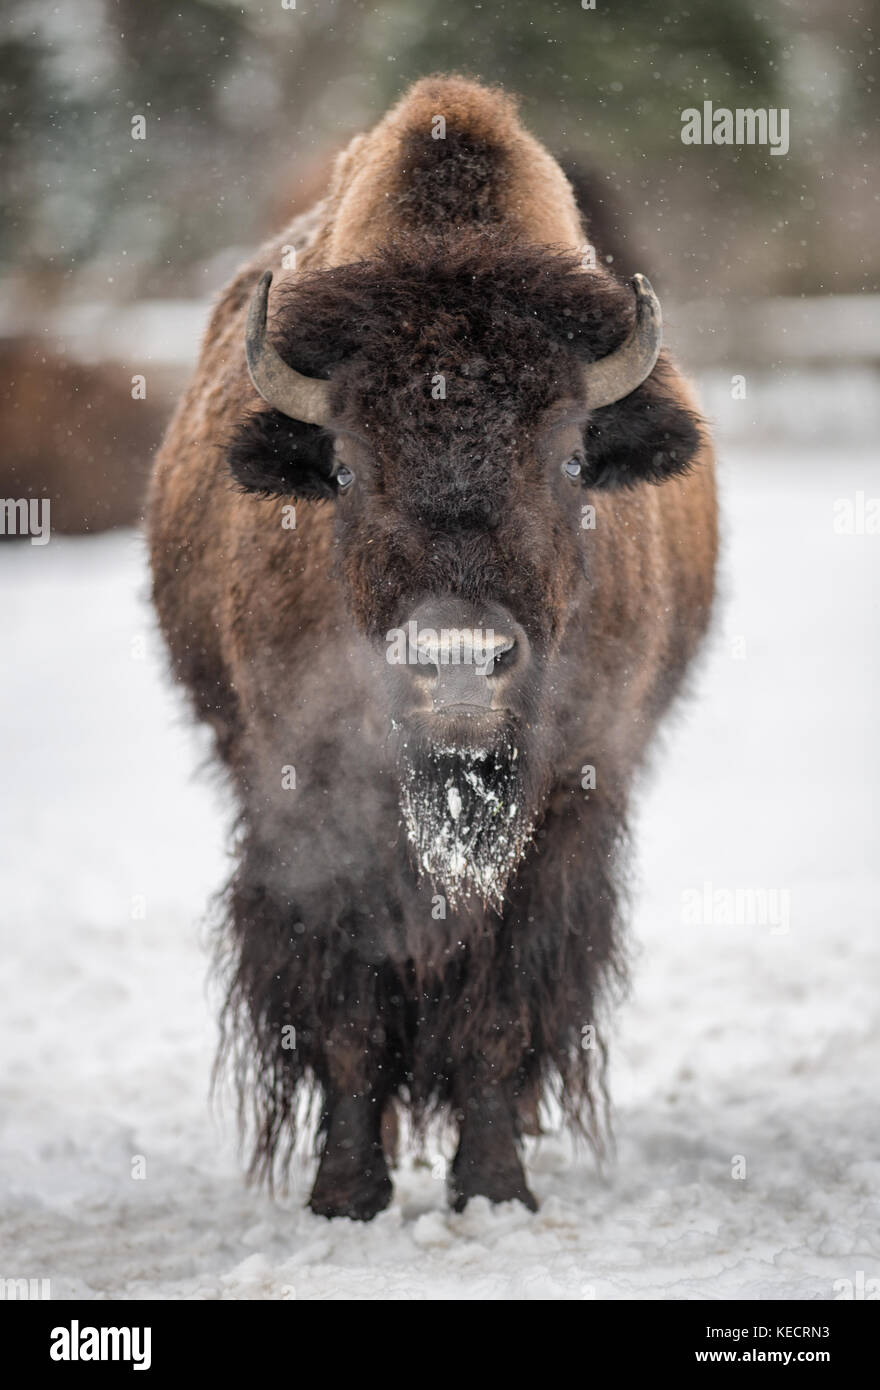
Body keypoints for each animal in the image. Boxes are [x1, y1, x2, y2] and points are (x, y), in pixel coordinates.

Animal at [149, 75, 717, 1219]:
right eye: (346, 466)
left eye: (572, 458)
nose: (456, 665)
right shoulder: (312, 804)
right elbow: (345, 1011)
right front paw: (345, 1194)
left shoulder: (566, 806)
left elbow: (498, 1009)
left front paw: (494, 1188)